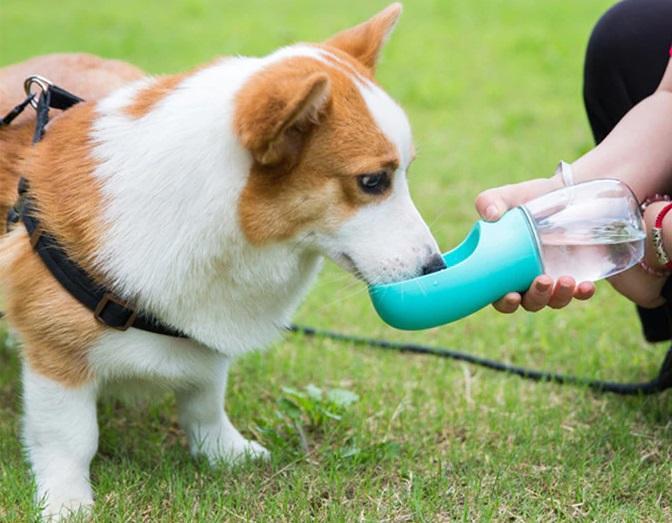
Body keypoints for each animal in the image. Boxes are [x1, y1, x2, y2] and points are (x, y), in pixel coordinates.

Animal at [0, 4, 444, 520]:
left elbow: (205, 401)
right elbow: (71, 438)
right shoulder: (56, 353)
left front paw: (223, 453)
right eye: (372, 181)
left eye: (404, 173)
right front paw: (66, 501)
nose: (435, 267)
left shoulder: (205, 333)